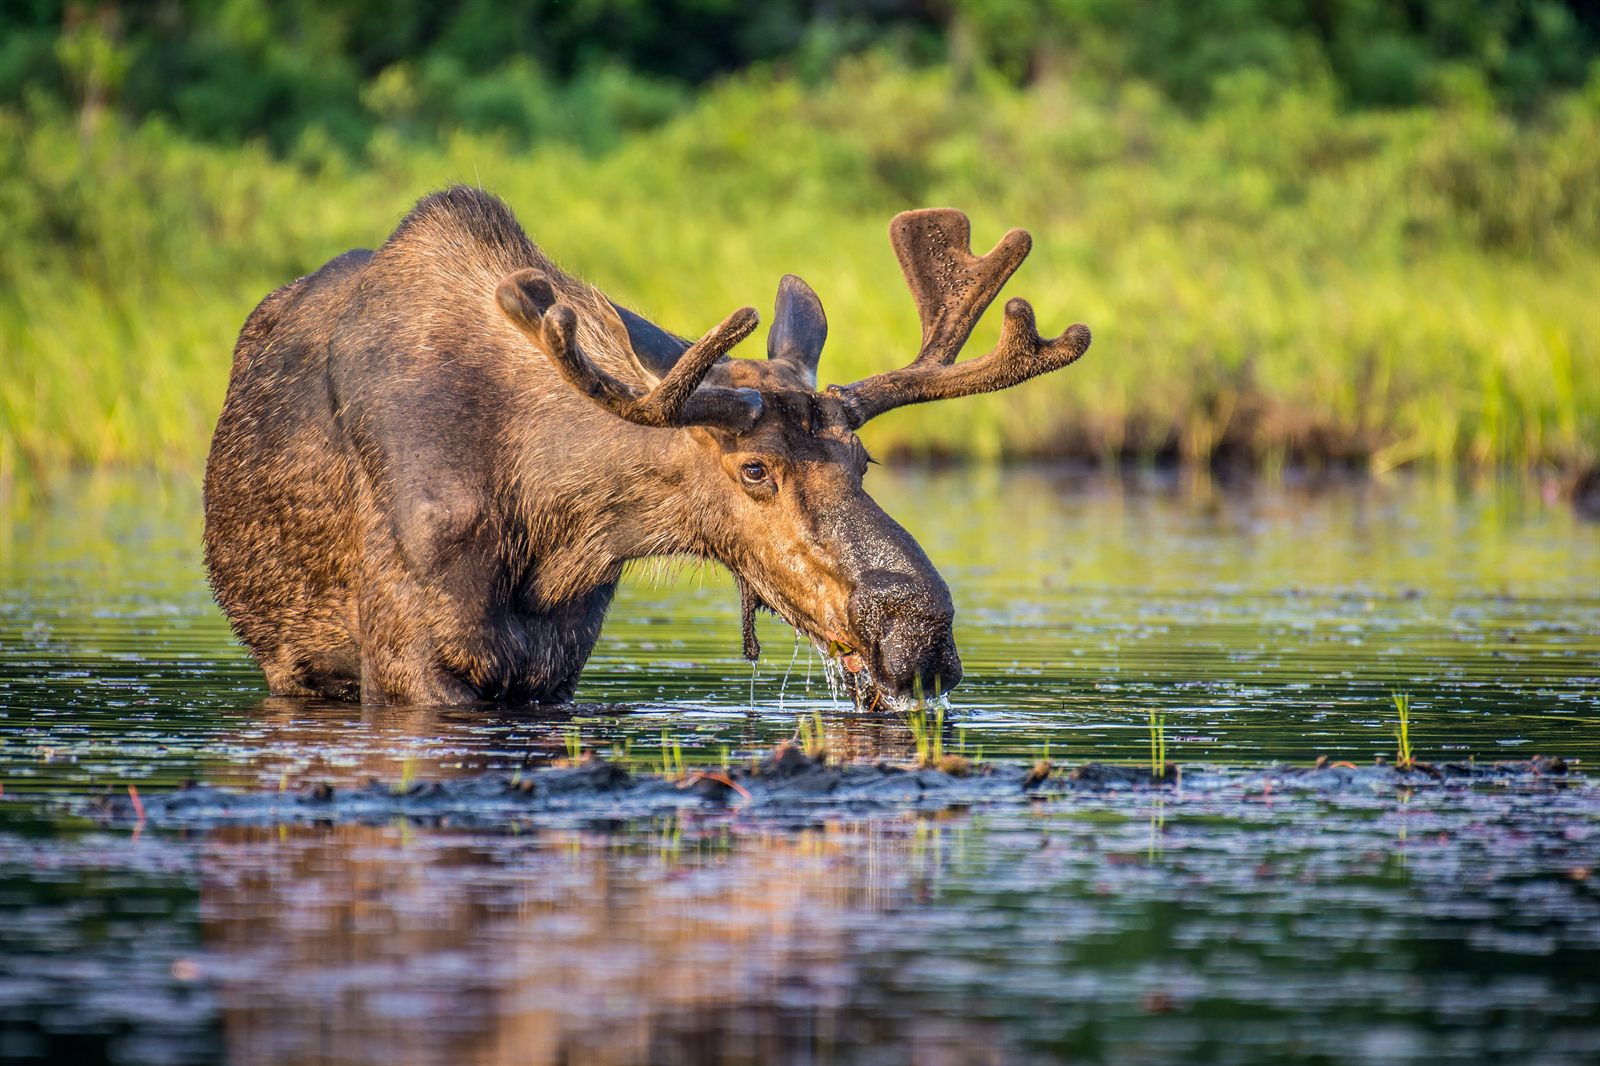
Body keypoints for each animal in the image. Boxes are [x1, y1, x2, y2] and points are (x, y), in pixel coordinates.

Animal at [203, 187, 1091, 709]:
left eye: (862, 462)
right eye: (755, 469)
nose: (921, 631)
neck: (548, 521)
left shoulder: (557, 661)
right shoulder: (408, 661)